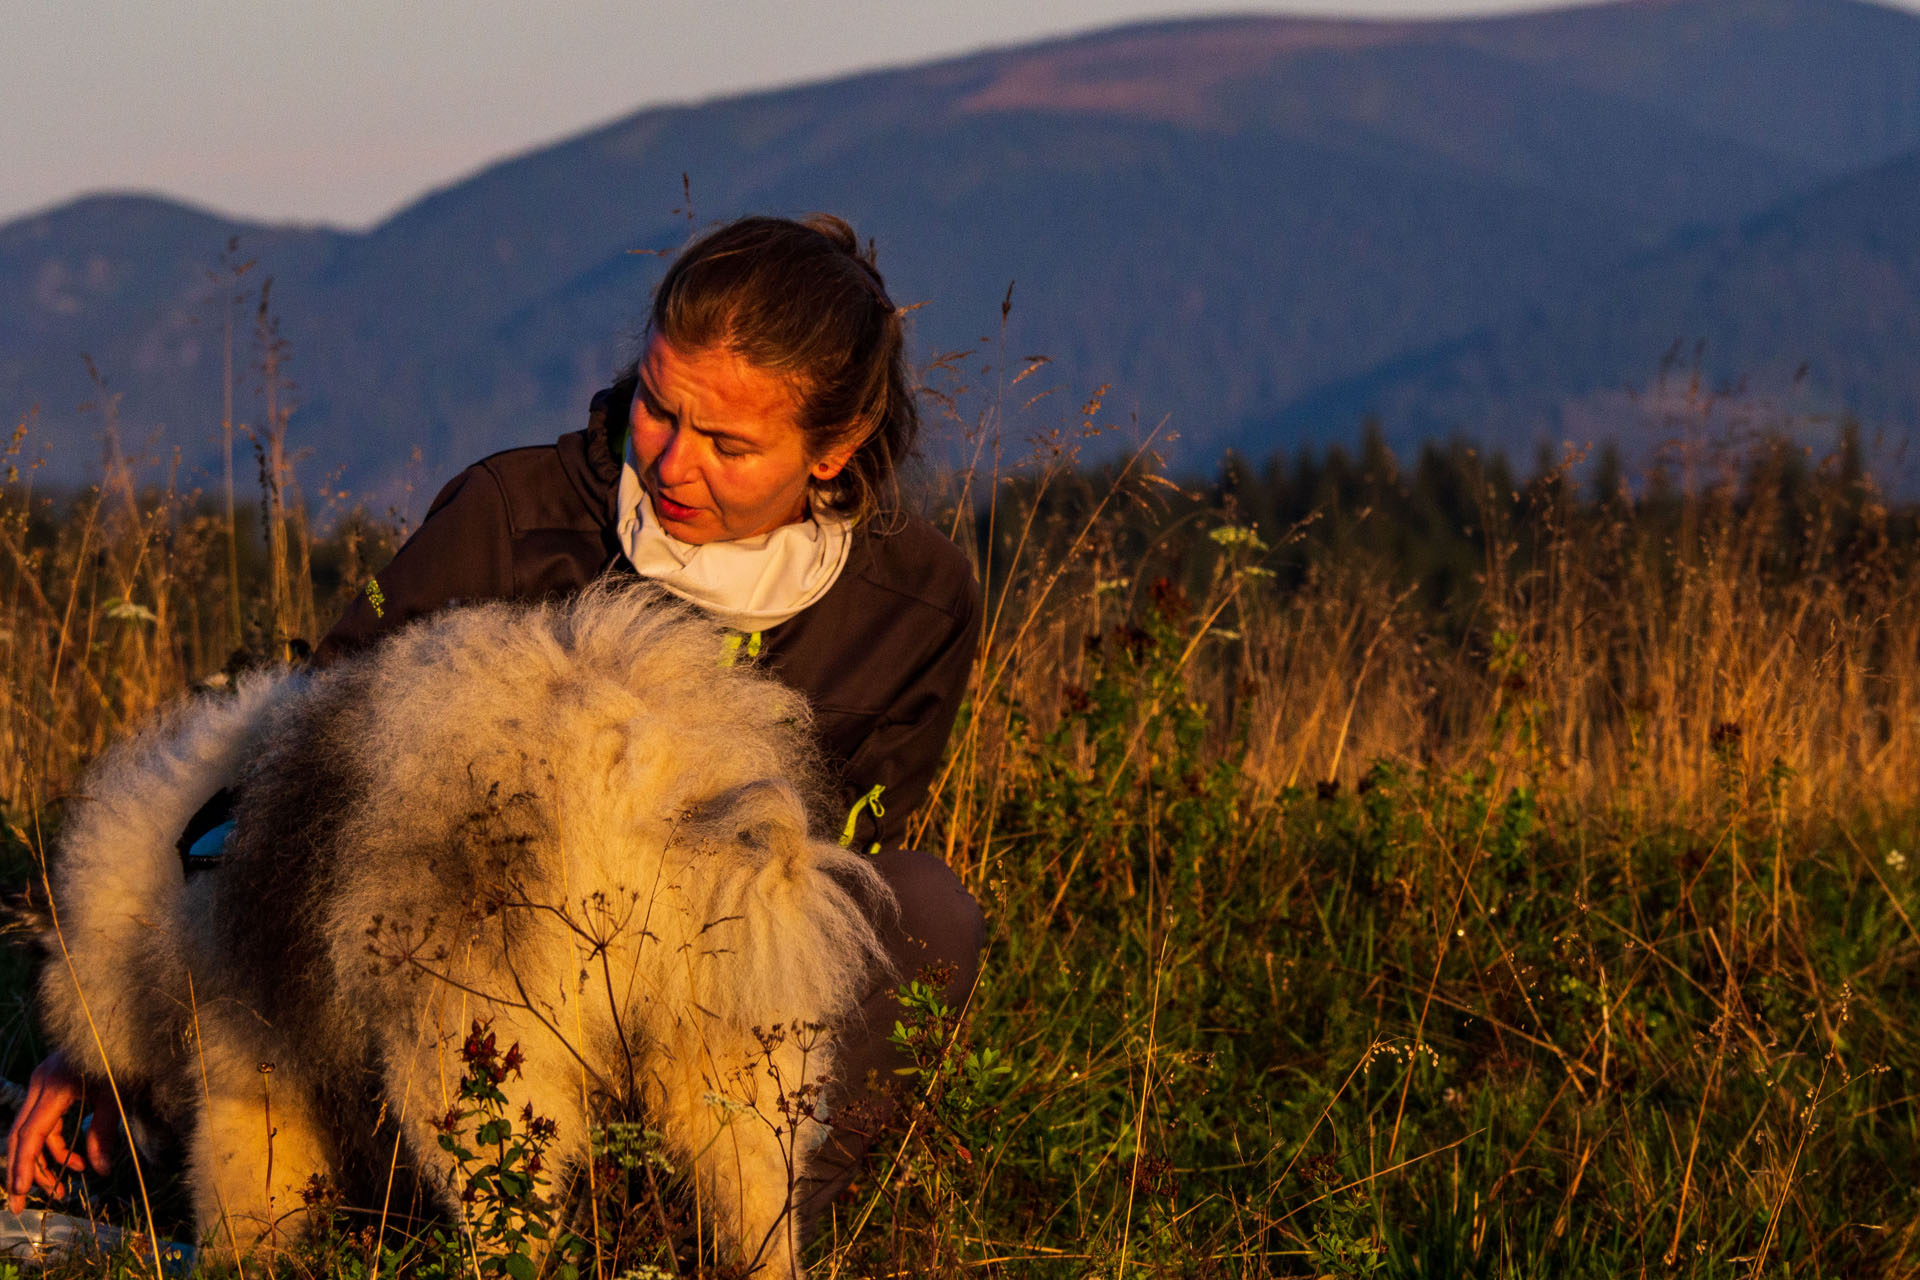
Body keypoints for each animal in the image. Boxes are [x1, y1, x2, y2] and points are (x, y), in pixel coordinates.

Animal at [35, 587, 890, 1274]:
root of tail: (637, 774)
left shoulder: (246, 1080)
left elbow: (238, 1207)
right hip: (731, 1057)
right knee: (760, 1205)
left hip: (475, 1060)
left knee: (513, 1223)